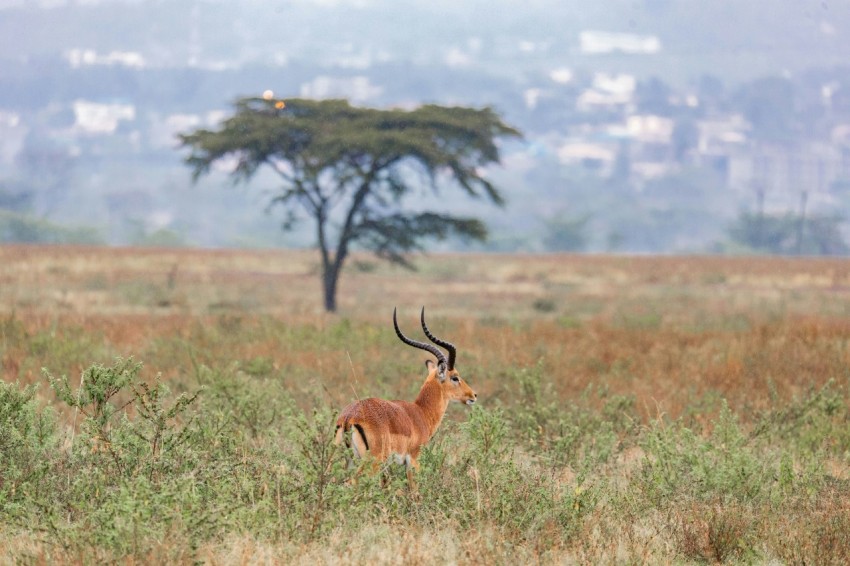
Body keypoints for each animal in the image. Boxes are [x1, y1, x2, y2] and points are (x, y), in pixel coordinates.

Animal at [334, 307, 477, 489]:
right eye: (455, 377)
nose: (473, 395)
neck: (421, 412)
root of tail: (349, 417)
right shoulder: (413, 460)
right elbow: (414, 490)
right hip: (371, 462)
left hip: (342, 460)